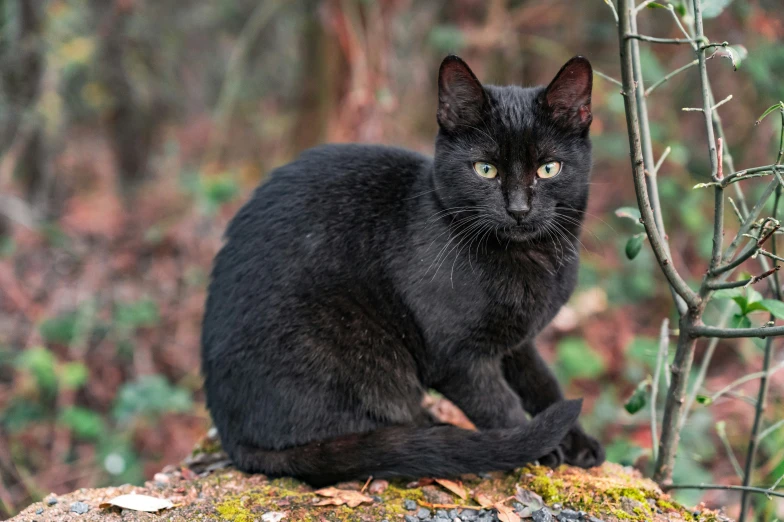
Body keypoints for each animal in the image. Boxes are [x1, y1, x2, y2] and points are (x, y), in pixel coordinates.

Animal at [202, 53, 608, 484]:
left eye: (549, 169)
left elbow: (542, 383)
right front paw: (541, 448)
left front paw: (578, 440)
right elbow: (500, 404)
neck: (531, 258)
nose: (518, 209)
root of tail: (233, 437)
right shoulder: (457, 357)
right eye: (485, 169)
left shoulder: (517, 340)